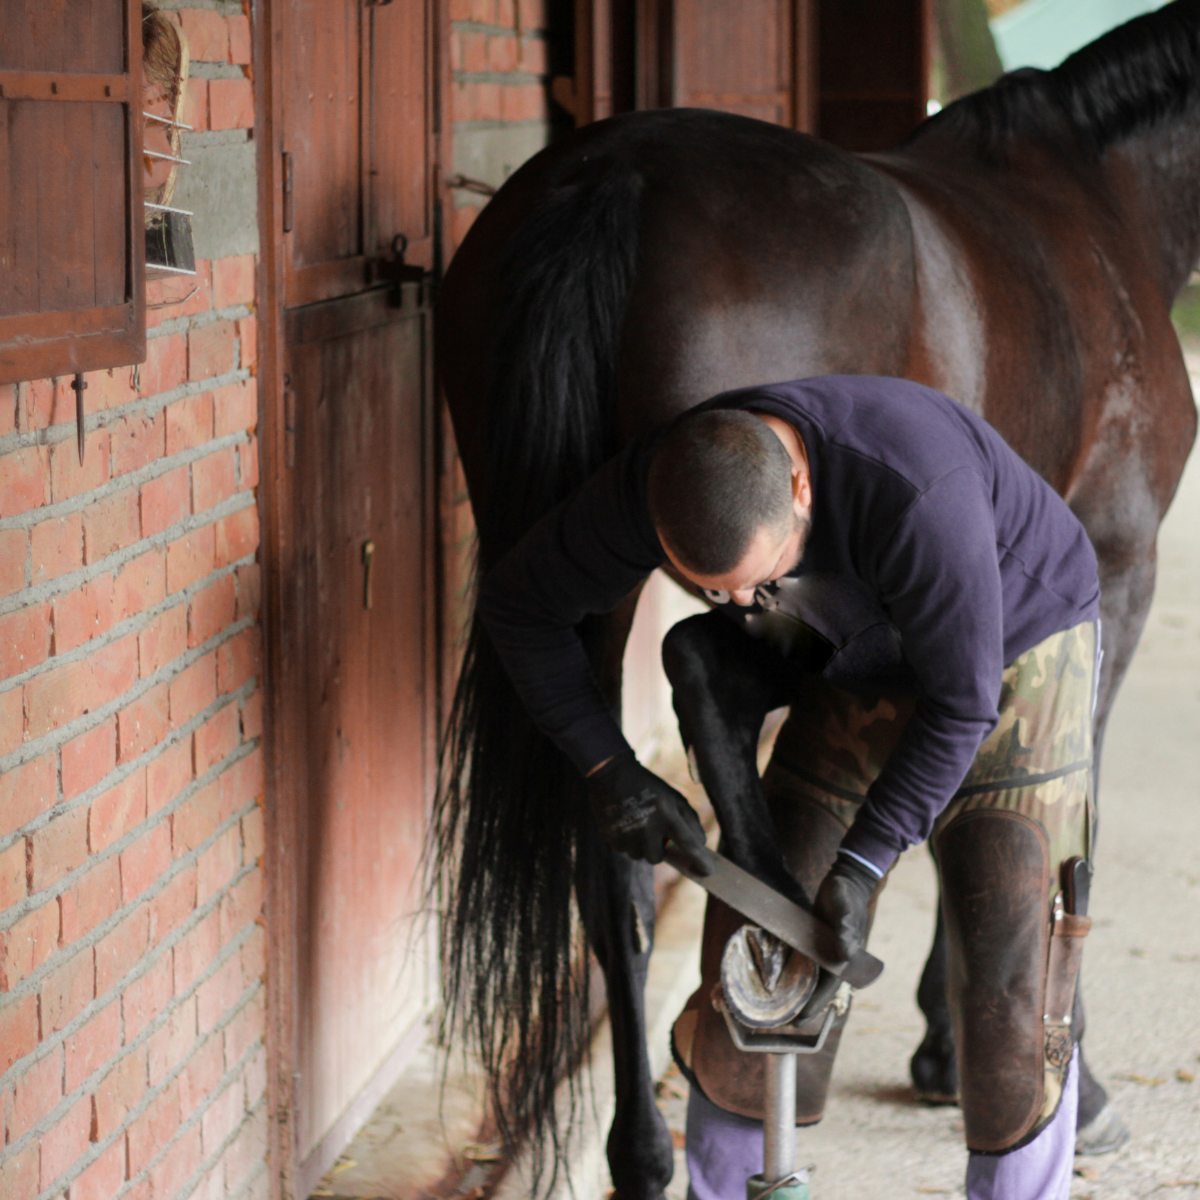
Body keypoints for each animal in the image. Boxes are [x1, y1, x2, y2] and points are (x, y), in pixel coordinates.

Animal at [432, 4, 1200, 1195]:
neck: (1109, 191)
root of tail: (615, 178)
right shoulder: (1115, 569)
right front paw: (980, 1053)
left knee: (612, 847)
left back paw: (643, 1149)